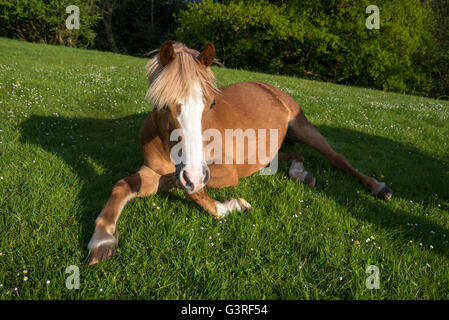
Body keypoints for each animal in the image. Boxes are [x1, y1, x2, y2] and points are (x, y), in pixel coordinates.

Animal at [86, 40, 388, 264]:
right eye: (163, 105)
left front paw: (231, 205)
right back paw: (301, 173)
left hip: (306, 129)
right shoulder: (154, 171)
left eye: (211, 104)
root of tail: (268, 86)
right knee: (292, 157)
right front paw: (102, 239)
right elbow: (123, 185)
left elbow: (191, 190)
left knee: (339, 159)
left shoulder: (223, 172)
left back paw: (377, 187)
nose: (193, 174)